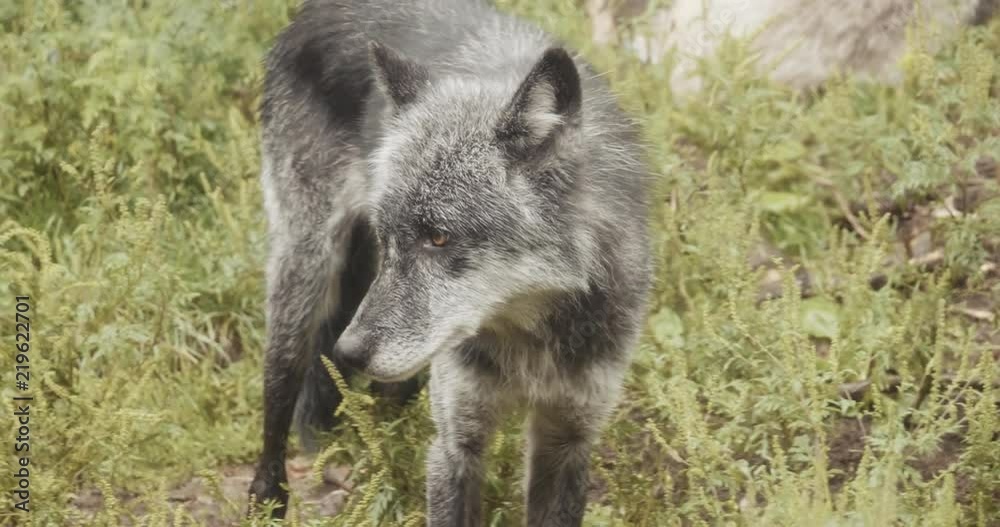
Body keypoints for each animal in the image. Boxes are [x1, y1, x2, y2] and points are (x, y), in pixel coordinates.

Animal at [248, 0, 651, 525]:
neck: (528, 336)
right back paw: (268, 497)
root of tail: (313, 10)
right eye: (390, 236)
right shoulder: (455, 444)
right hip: (305, 273)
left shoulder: (567, 439)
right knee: (279, 392)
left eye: (438, 237)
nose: (349, 352)